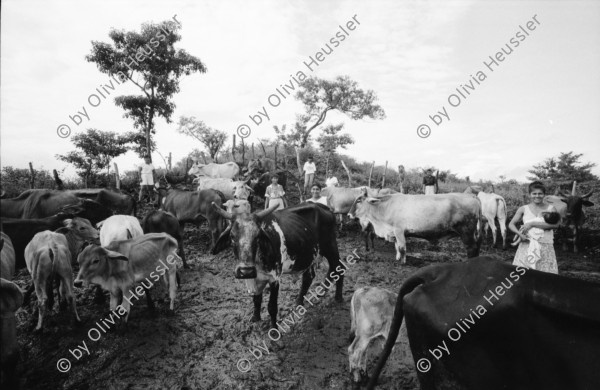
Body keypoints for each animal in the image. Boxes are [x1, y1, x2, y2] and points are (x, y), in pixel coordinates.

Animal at [211, 201, 344, 326]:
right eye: (232, 236)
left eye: (258, 237)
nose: (246, 271)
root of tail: (324, 207)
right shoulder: (255, 278)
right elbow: (256, 299)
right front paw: (255, 317)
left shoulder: (274, 278)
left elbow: (272, 307)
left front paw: (274, 328)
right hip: (310, 255)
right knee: (309, 277)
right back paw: (299, 302)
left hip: (330, 246)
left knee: (338, 267)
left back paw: (338, 298)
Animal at [346, 190, 482, 264]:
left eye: (359, 200)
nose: (348, 214)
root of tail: (473, 196)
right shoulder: (395, 233)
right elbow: (397, 247)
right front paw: (398, 258)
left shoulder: (399, 231)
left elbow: (402, 248)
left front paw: (402, 262)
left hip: (466, 232)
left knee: (472, 248)